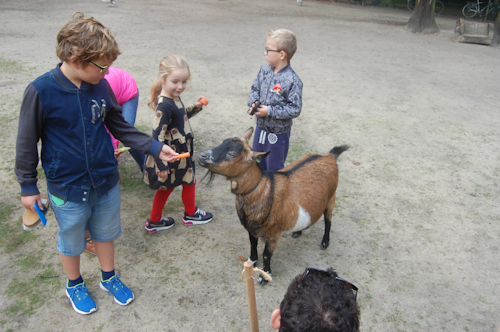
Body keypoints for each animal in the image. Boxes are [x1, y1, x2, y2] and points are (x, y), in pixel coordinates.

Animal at [198, 128, 348, 284]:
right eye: (222, 143)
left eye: (232, 154)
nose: (202, 156)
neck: (264, 189)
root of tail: (329, 156)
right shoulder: (251, 228)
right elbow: (253, 244)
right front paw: (252, 262)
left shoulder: (274, 233)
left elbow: (266, 254)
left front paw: (265, 276)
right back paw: (298, 232)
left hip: (331, 199)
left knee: (328, 221)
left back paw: (325, 242)